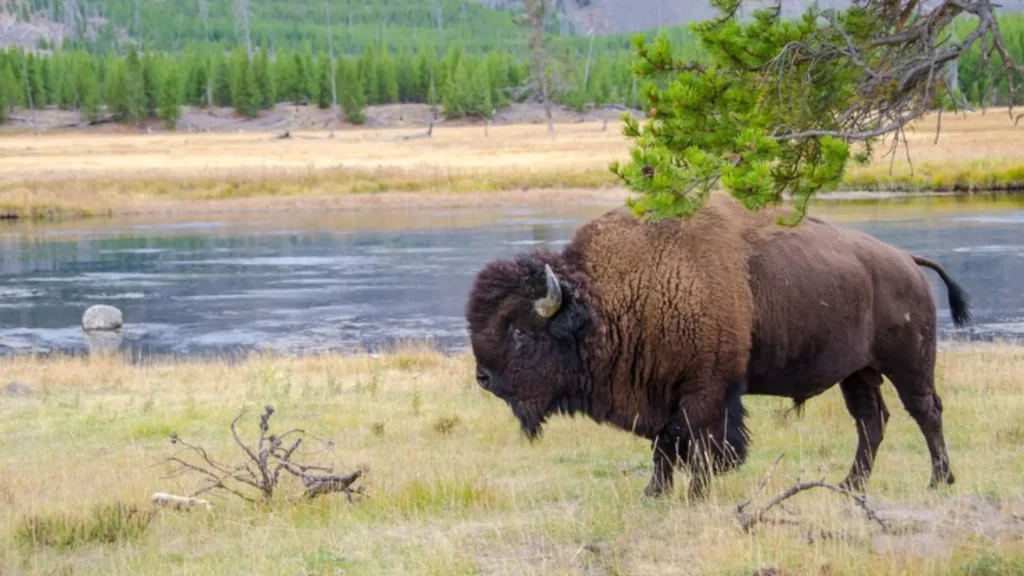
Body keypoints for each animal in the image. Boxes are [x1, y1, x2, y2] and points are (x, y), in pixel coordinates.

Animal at [465, 193, 971, 500]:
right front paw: (655, 494)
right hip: (857, 372)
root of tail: (906, 260)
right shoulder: (663, 392)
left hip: (909, 365)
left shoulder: (705, 392)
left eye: (519, 331)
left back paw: (939, 480)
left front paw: (695, 494)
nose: (483, 378)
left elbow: (704, 445)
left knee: (926, 412)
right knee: (871, 421)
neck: (608, 299)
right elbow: (665, 448)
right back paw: (850, 486)